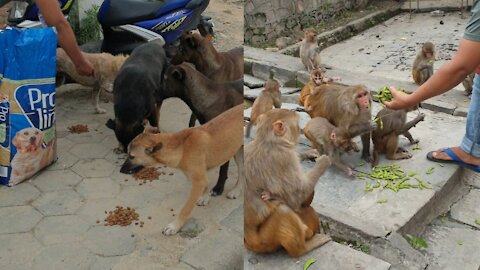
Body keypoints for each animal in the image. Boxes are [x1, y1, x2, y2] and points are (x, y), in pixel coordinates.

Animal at [120, 104, 244, 235]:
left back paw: (237, 191)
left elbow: (186, 208)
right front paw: (205, 198)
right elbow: (206, 186)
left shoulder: (198, 181)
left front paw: (174, 226)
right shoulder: (199, 177)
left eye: (132, 156)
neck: (181, 147)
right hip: (237, 151)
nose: (121, 170)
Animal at [244, 108, 334, 256]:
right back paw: (305, 247)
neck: (267, 140)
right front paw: (323, 162)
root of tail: (249, 239)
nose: (300, 131)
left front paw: (308, 154)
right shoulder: (285, 157)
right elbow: (297, 198)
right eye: (296, 126)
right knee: (284, 211)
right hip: (264, 242)